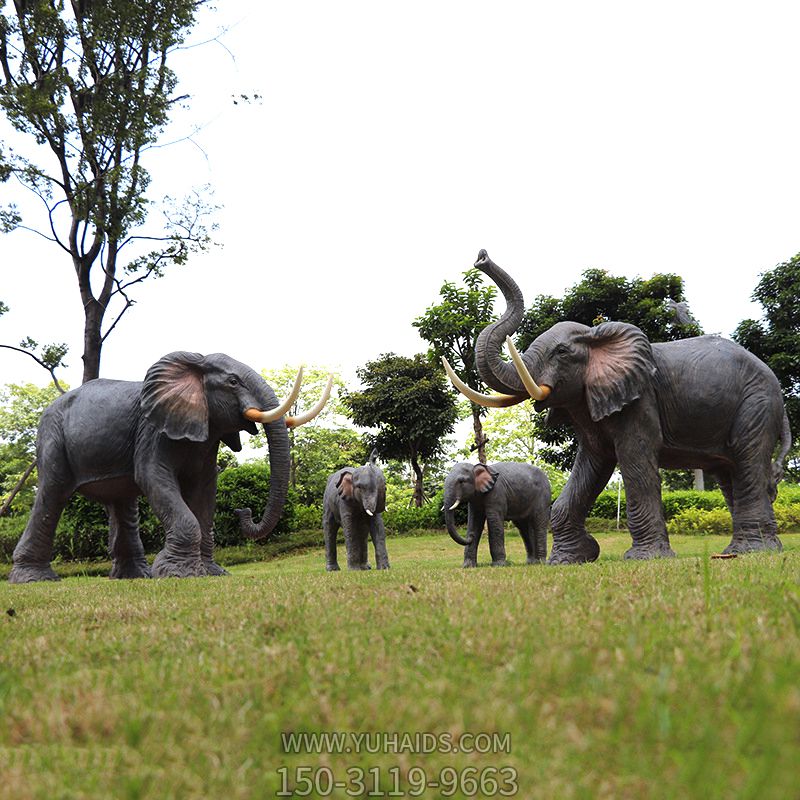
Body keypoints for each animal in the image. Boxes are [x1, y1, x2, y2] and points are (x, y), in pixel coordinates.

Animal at [10, 352, 328, 580]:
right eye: (233, 382)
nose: (243, 510)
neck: (195, 365)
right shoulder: (152, 429)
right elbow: (153, 477)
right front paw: (178, 573)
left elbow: (204, 490)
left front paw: (211, 573)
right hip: (52, 437)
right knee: (52, 493)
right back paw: (33, 579)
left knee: (121, 502)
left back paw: (135, 577)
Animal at [446, 248, 792, 564]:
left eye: (561, 352)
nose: (481, 257)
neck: (595, 336)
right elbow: (592, 464)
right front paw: (571, 559)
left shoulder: (640, 399)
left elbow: (634, 460)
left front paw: (645, 558)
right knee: (728, 471)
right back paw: (752, 549)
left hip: (757, 403)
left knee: (747, 460)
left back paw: (750, 551)